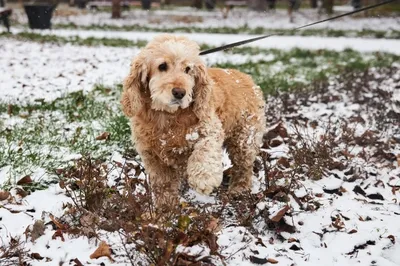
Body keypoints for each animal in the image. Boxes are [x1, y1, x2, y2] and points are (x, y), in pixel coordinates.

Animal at [122, 33, 266, 208]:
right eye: (162, 66)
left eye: (188, 69)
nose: (180, 92)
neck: (167, 116)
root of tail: (247, 78)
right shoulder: (152, 155)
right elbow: (163, 185)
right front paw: (165, 209)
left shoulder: (210, 128)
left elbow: (204, 149)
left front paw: (203, 178)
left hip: (245, 138)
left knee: (243, 166)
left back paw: (238, 189)